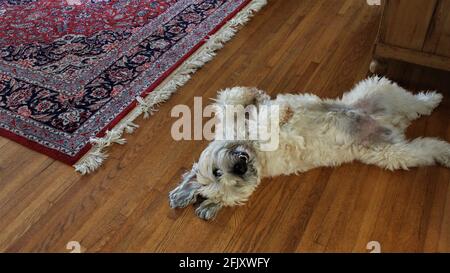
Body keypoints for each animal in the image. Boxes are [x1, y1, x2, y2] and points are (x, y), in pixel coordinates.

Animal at [170, 76, 450, 219]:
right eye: (234, 184)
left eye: (217, 172)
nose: (240, 168)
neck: (254, 150)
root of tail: (391, 123)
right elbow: (265, 123)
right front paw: (277, 112)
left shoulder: (233, 123)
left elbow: (231, 98)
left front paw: (257, 96)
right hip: (392, 151)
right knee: (425, 145)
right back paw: (444, 149)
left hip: (377, 90)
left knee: (412, 101)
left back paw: (432, 97)